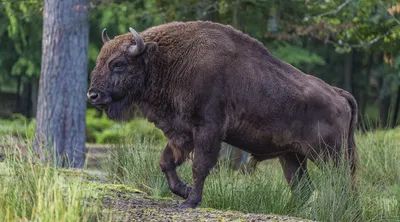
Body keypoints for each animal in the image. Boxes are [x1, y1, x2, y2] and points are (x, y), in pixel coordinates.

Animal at [87, 20, 360, 208]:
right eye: (99, 60)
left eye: (118, 64)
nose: (93, 95)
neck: (168, 60)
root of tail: (338, 94)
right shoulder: (181, 133)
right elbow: (166, 162)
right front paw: (184, 191)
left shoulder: (207, 130)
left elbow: (200, 166)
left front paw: (191, 201)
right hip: (292, 156)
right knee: (302, 187)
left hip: (329, 155)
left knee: (342, 183)